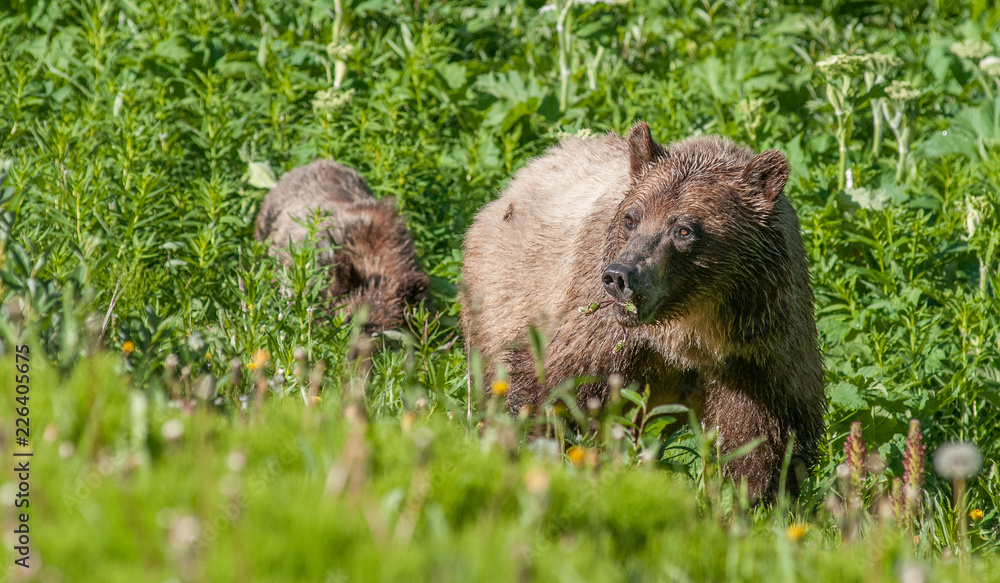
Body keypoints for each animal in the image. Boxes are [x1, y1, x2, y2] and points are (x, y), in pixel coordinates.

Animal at [460, 122, 825, 502]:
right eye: (631, 218)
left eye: (683, 229)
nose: (620, 276)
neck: (690, 335)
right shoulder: (600, 333)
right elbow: (551, 391)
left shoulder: (759, 351)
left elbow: (764, 442)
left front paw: (751, 497)